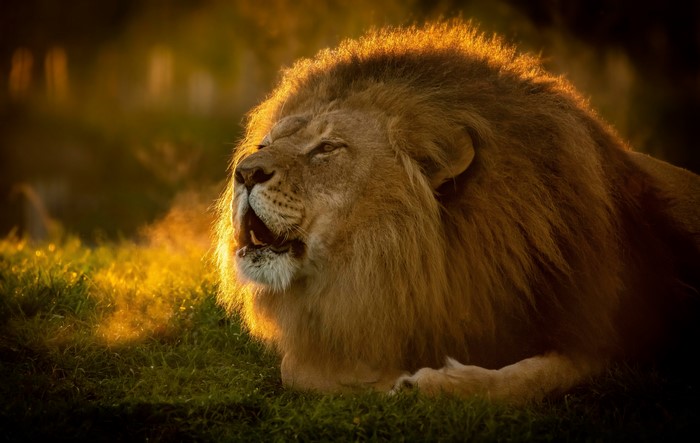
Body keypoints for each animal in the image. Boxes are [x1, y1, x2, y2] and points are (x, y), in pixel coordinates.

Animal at [215, 21, 700, 403]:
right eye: (263, 145)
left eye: (328, 148)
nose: (246, 172)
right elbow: (298, 370)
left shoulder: (609, 335)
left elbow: (532, 379)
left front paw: (429, 383)